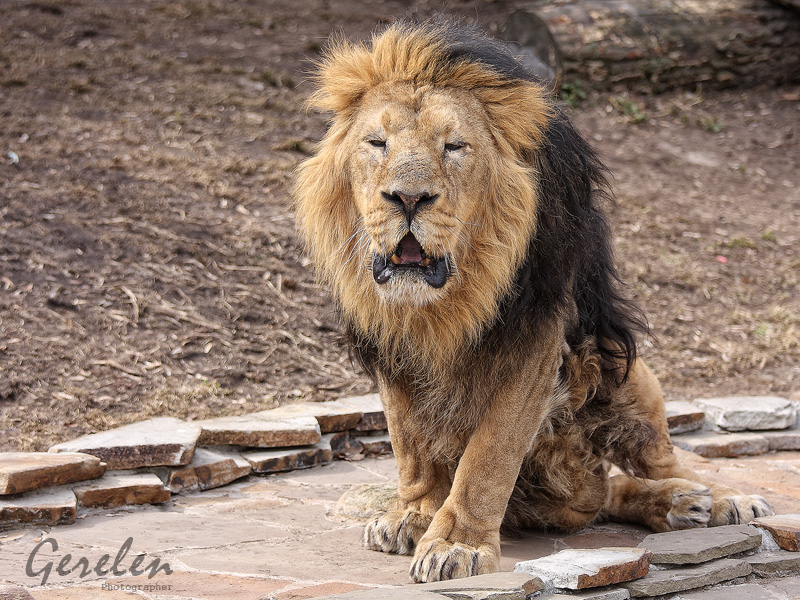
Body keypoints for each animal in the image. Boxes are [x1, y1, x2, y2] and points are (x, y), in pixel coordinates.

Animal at [296, 22, 776, 580]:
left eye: (454, 146)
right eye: (377, 143)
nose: (408, 199)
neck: (440, 309)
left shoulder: (534, 343)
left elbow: (488, 456)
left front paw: (457, 543)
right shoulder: (391, 346)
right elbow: (410, 446)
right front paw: (414, 515)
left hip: (629, 374)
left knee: (662, 467)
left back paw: (715, 500)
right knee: (608, 493)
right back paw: (675, 503)